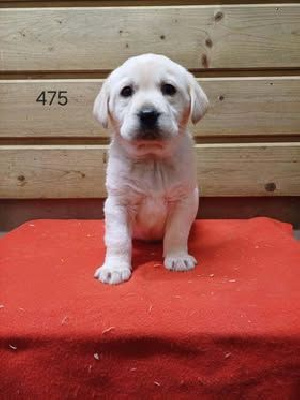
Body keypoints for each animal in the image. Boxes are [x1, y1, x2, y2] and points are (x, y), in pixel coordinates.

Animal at [94, 54, 209, 284]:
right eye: (126, 91)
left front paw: (178, 257)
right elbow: (118, 238)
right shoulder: (118, 203)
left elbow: (176, 232)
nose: (148, 114)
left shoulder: (184, 200)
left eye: (169, 88)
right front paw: (114, 267)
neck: (152, 159)